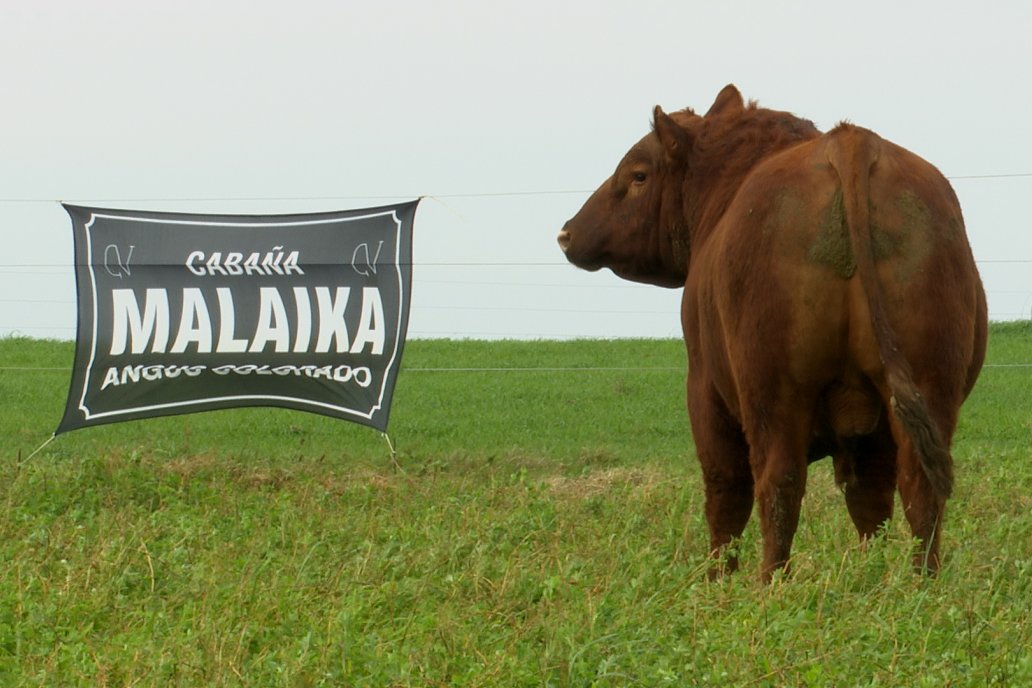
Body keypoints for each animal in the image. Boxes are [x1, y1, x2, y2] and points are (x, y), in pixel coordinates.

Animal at [561, 86, 986, 581]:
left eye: (638, 175)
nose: (566, 233)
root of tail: (848, 141)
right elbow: (870, 503)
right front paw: (870, 573)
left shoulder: (704, 389)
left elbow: (725, 492)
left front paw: (716, 581)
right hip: (927, 384)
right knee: (919, 487)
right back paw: (919, 584)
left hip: (773, 391)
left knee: (776, 483)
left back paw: (770, 584)